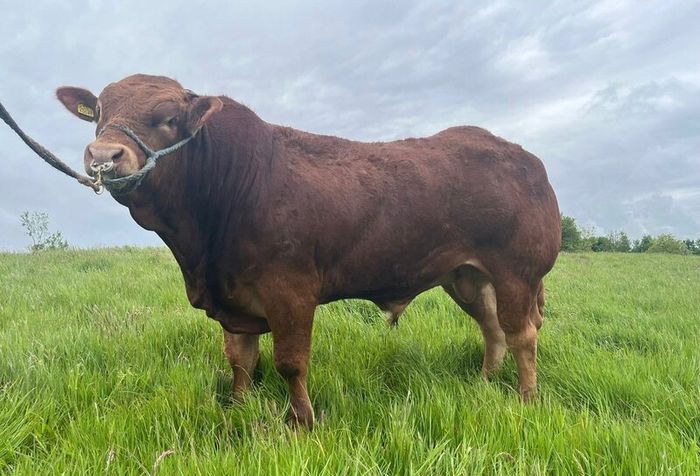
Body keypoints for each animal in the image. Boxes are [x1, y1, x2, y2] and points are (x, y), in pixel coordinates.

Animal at [55, 74, 560, 428]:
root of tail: (524, 157)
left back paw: (527, 399)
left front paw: (302, 422)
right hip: (467, 276)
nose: (104, 155)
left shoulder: (291, 292)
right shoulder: (233, 298)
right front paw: (238, 407)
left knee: (522, 335)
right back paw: (485, 383)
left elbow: (290, 363)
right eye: (98, 112)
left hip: (516, 272)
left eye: (166, 118)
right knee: (493, 329)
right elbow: (240, 360)